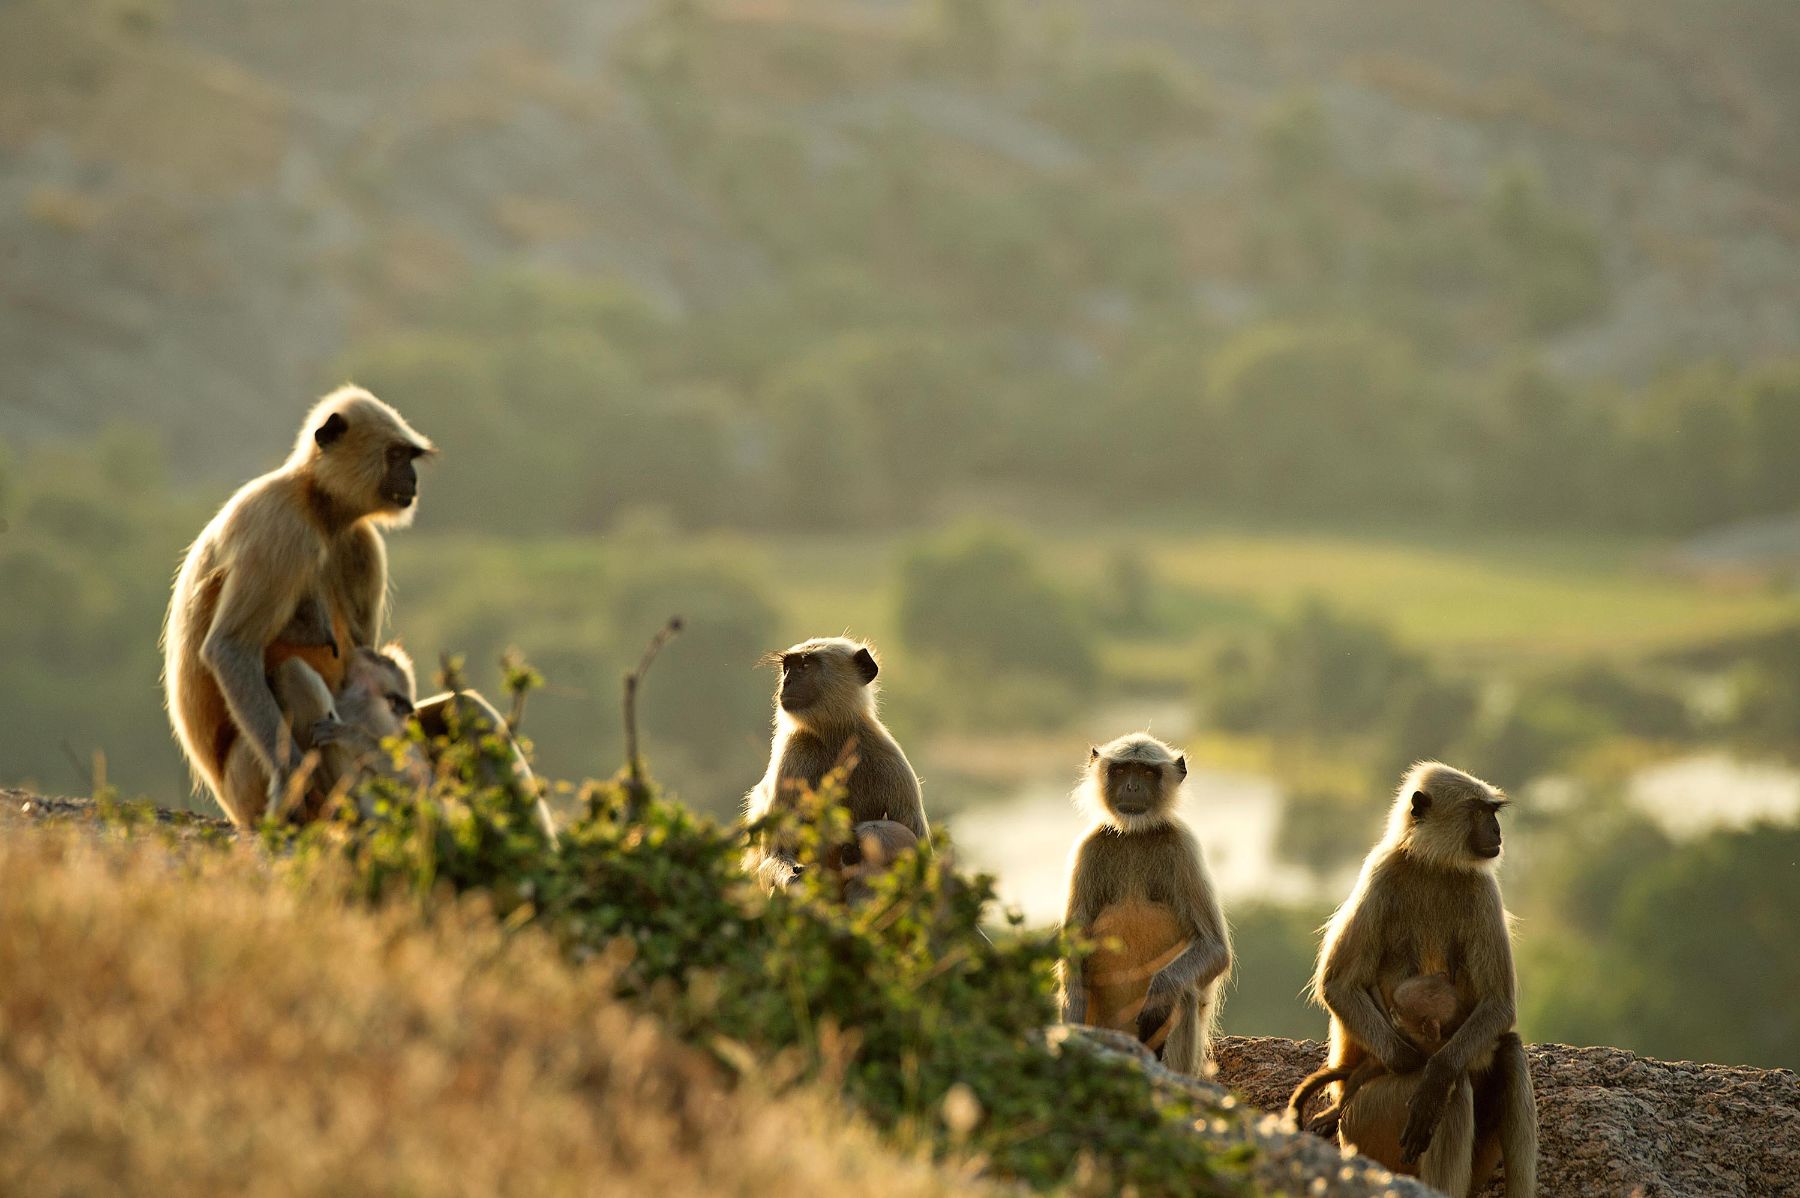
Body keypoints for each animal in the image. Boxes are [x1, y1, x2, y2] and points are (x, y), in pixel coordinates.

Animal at [163, 386, 434, 827]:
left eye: (410, 458)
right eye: (396, 455)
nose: (412, 479)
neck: (319, 507)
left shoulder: (363, 543)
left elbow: (363, 654)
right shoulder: (277, 524)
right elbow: (229, 648)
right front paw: (290, 777)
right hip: (247, 779)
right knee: (295, 676)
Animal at [742, 637, 929, 892]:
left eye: (805, 665)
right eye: (787, 667)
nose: (787, 682)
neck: (835, 736)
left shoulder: (892, 762)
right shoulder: (793, 751)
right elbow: (775, 856)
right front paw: (798, 878)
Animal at [1059, 734, 1232, 1078]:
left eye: (1147, 773)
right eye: (1122, 770)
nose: (1132, 787)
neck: (1135, 834)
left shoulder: (1183, 846)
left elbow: (1215, 949)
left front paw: (1158, 998)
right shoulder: (1089, 847)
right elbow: (1074, 950)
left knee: (1184, 991)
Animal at [1306, 762, 1538, 1198]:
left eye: (1491, 813)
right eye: (1479, 812)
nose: (1496, 832)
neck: (1435, 865)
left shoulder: (1482, 888)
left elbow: (1498, 1005)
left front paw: (1435, 1069)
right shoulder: (1380, 872)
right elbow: (1338, 984)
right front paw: (1415, 1064)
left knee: (1507, 1052)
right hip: (1367, 1121)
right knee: (1457, 1090)